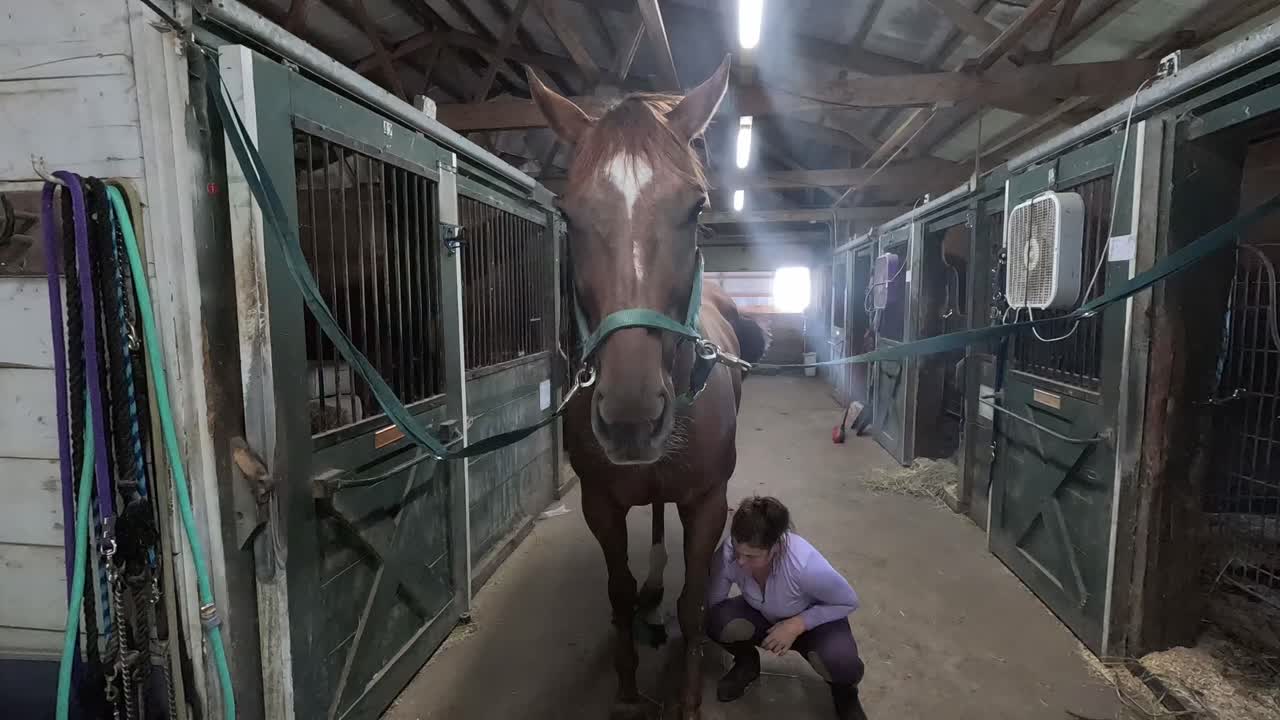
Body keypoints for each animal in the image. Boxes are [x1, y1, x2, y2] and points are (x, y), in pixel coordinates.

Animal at [527, 57, 769, 720]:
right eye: (569, 214)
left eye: (697, 208)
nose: (632, 418)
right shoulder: (599, 504)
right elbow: (618, 592)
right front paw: (629, 691)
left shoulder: (708, 501)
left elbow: (695, 601)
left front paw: (686, 697)